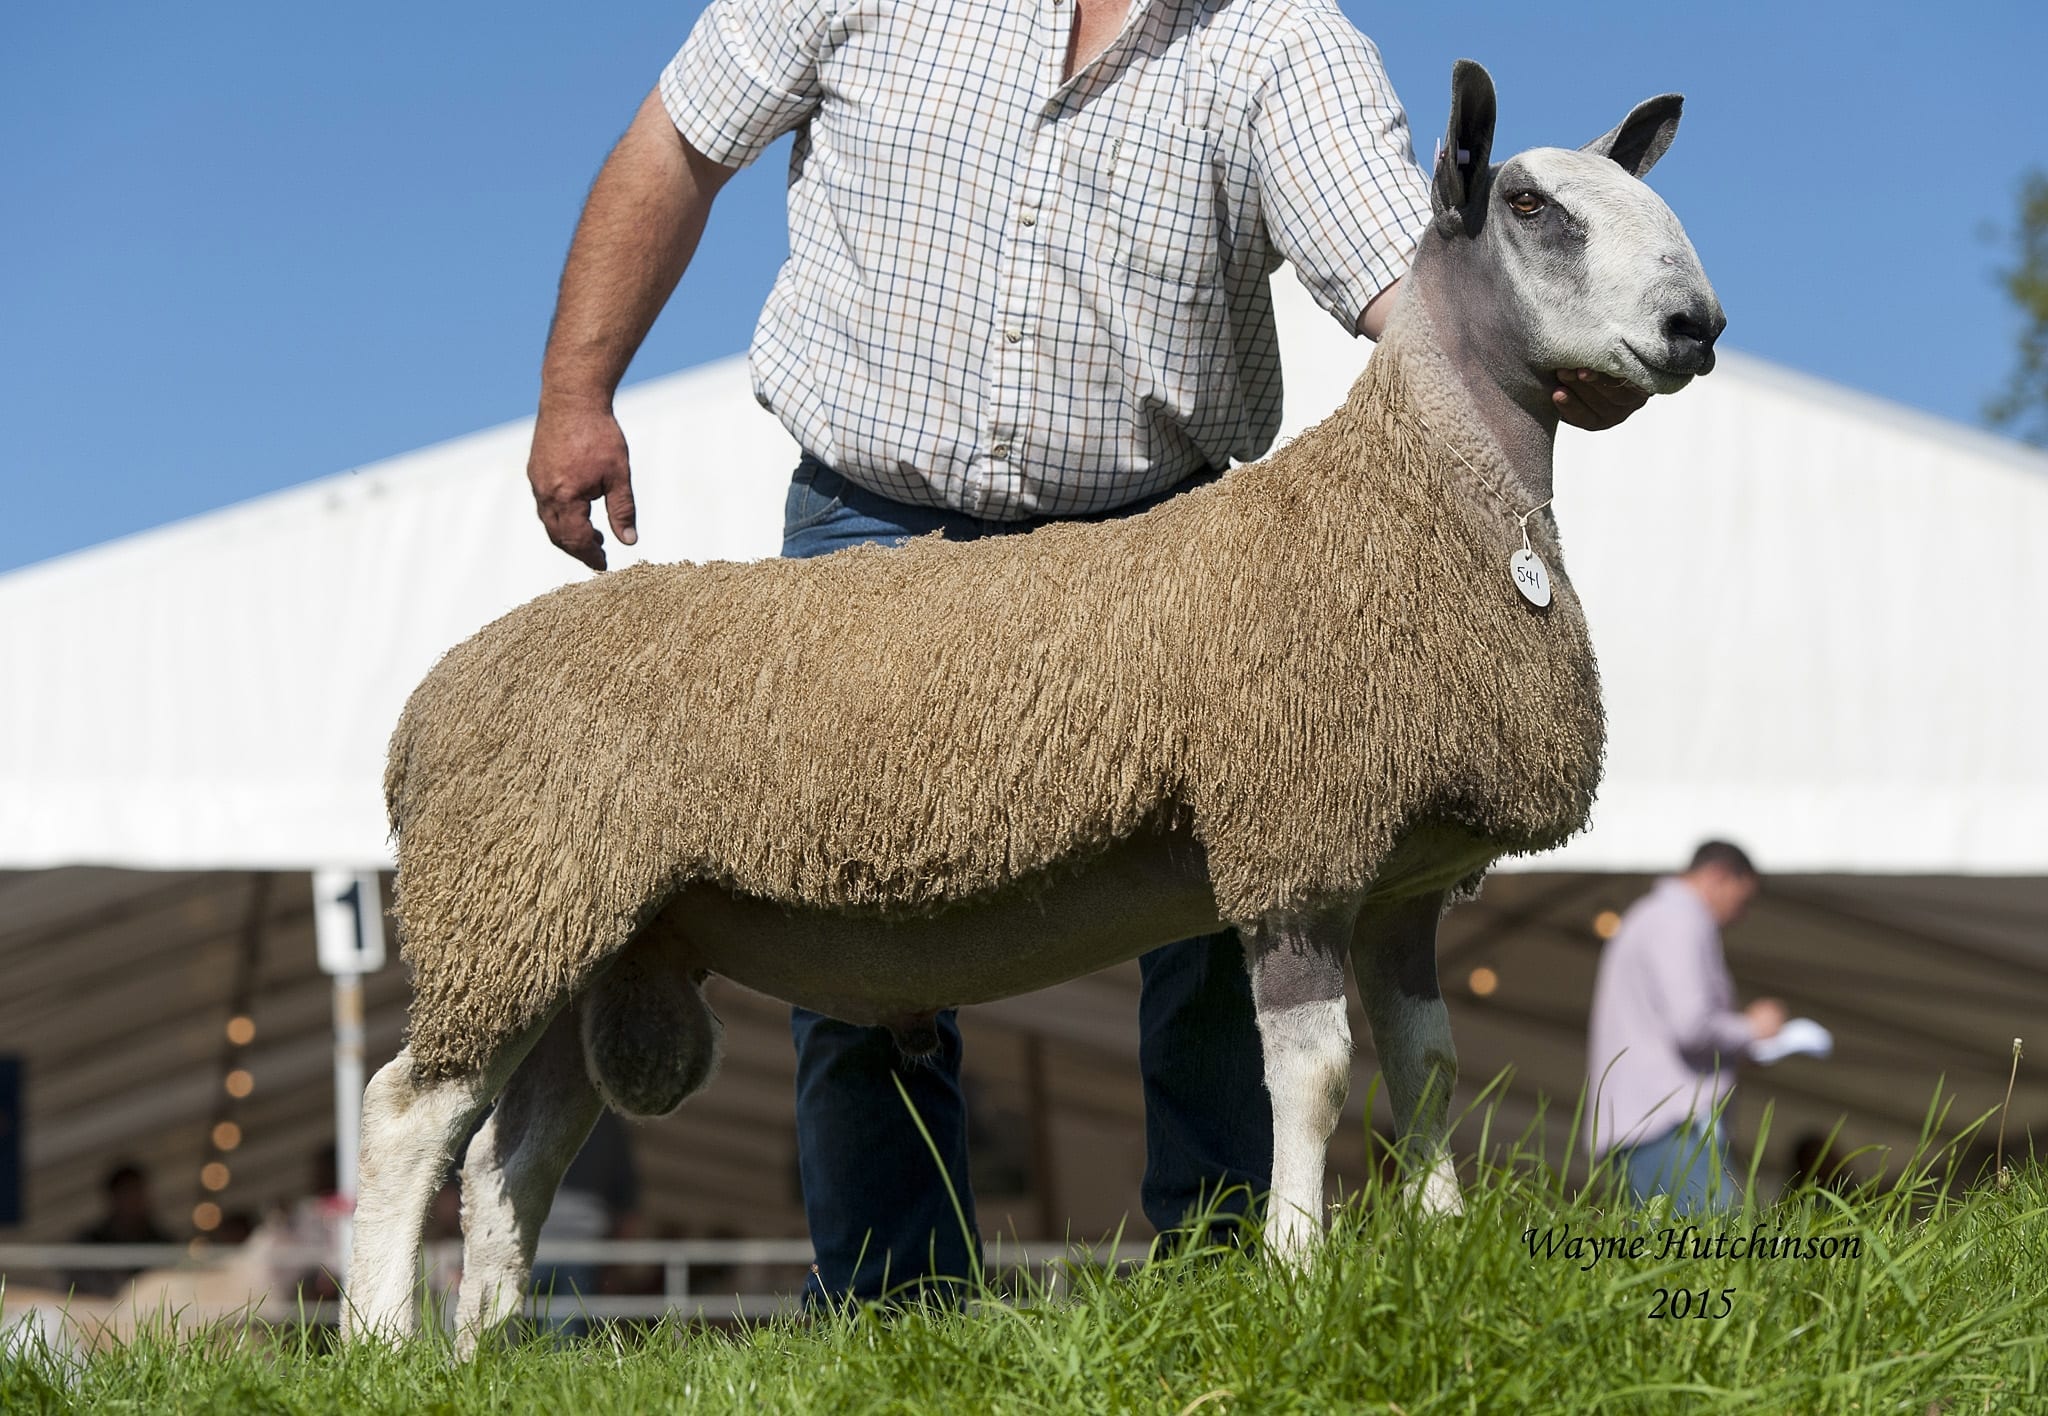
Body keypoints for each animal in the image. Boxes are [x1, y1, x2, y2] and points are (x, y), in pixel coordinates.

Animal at [344, 63, 1720, 1352]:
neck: (1419, 498)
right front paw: (1297, 1270)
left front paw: (1443, 1252)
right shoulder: (1295, 834)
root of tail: (420, 714)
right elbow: (1317, 1075)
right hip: (513, 894)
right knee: (406, 1116)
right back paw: (381, 1342)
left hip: (595, 931)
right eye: (1531, 207)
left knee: (512, 1154)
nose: (1695, 324)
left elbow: (1429, 1070)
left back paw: (489, 1351)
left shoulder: (1403, 876)